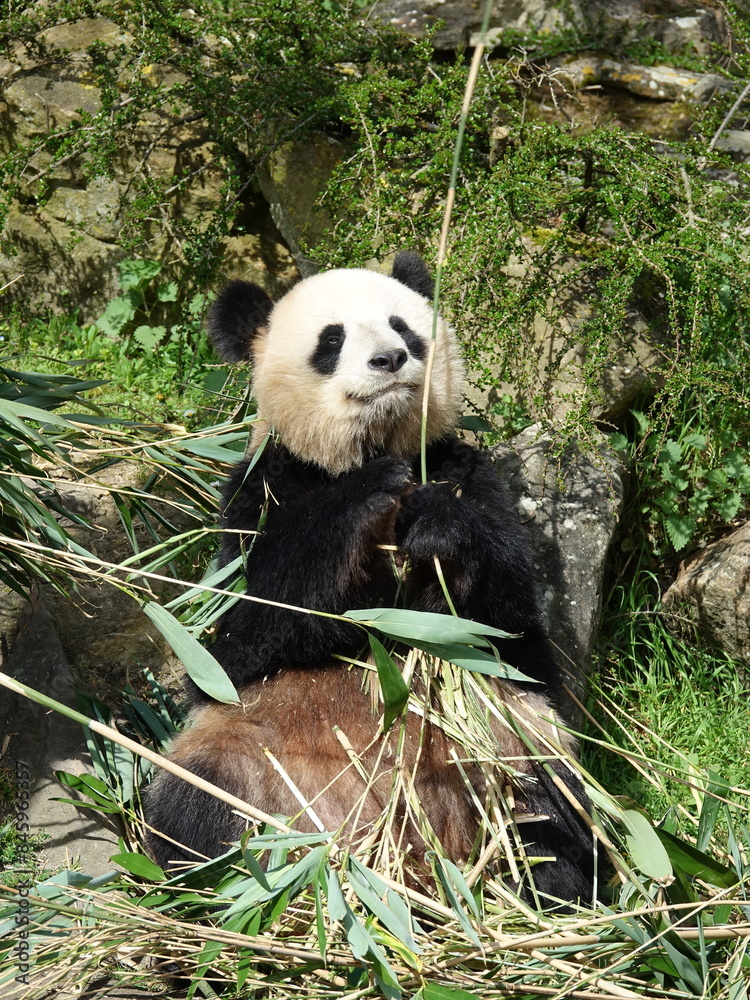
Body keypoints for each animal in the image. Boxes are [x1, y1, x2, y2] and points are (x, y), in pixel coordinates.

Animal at [145, 251, 596, 907]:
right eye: (331, 340)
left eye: (402, 327)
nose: (390, 359)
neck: (367, 447)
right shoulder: (258, 493)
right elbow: (245, 632)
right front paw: (368, 495)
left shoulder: (467, 472)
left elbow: (511, 622)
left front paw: (437, 526)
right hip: (249, 759)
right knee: (196, 810)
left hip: (503, 744)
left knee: (550, 812)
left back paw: (550, 894)